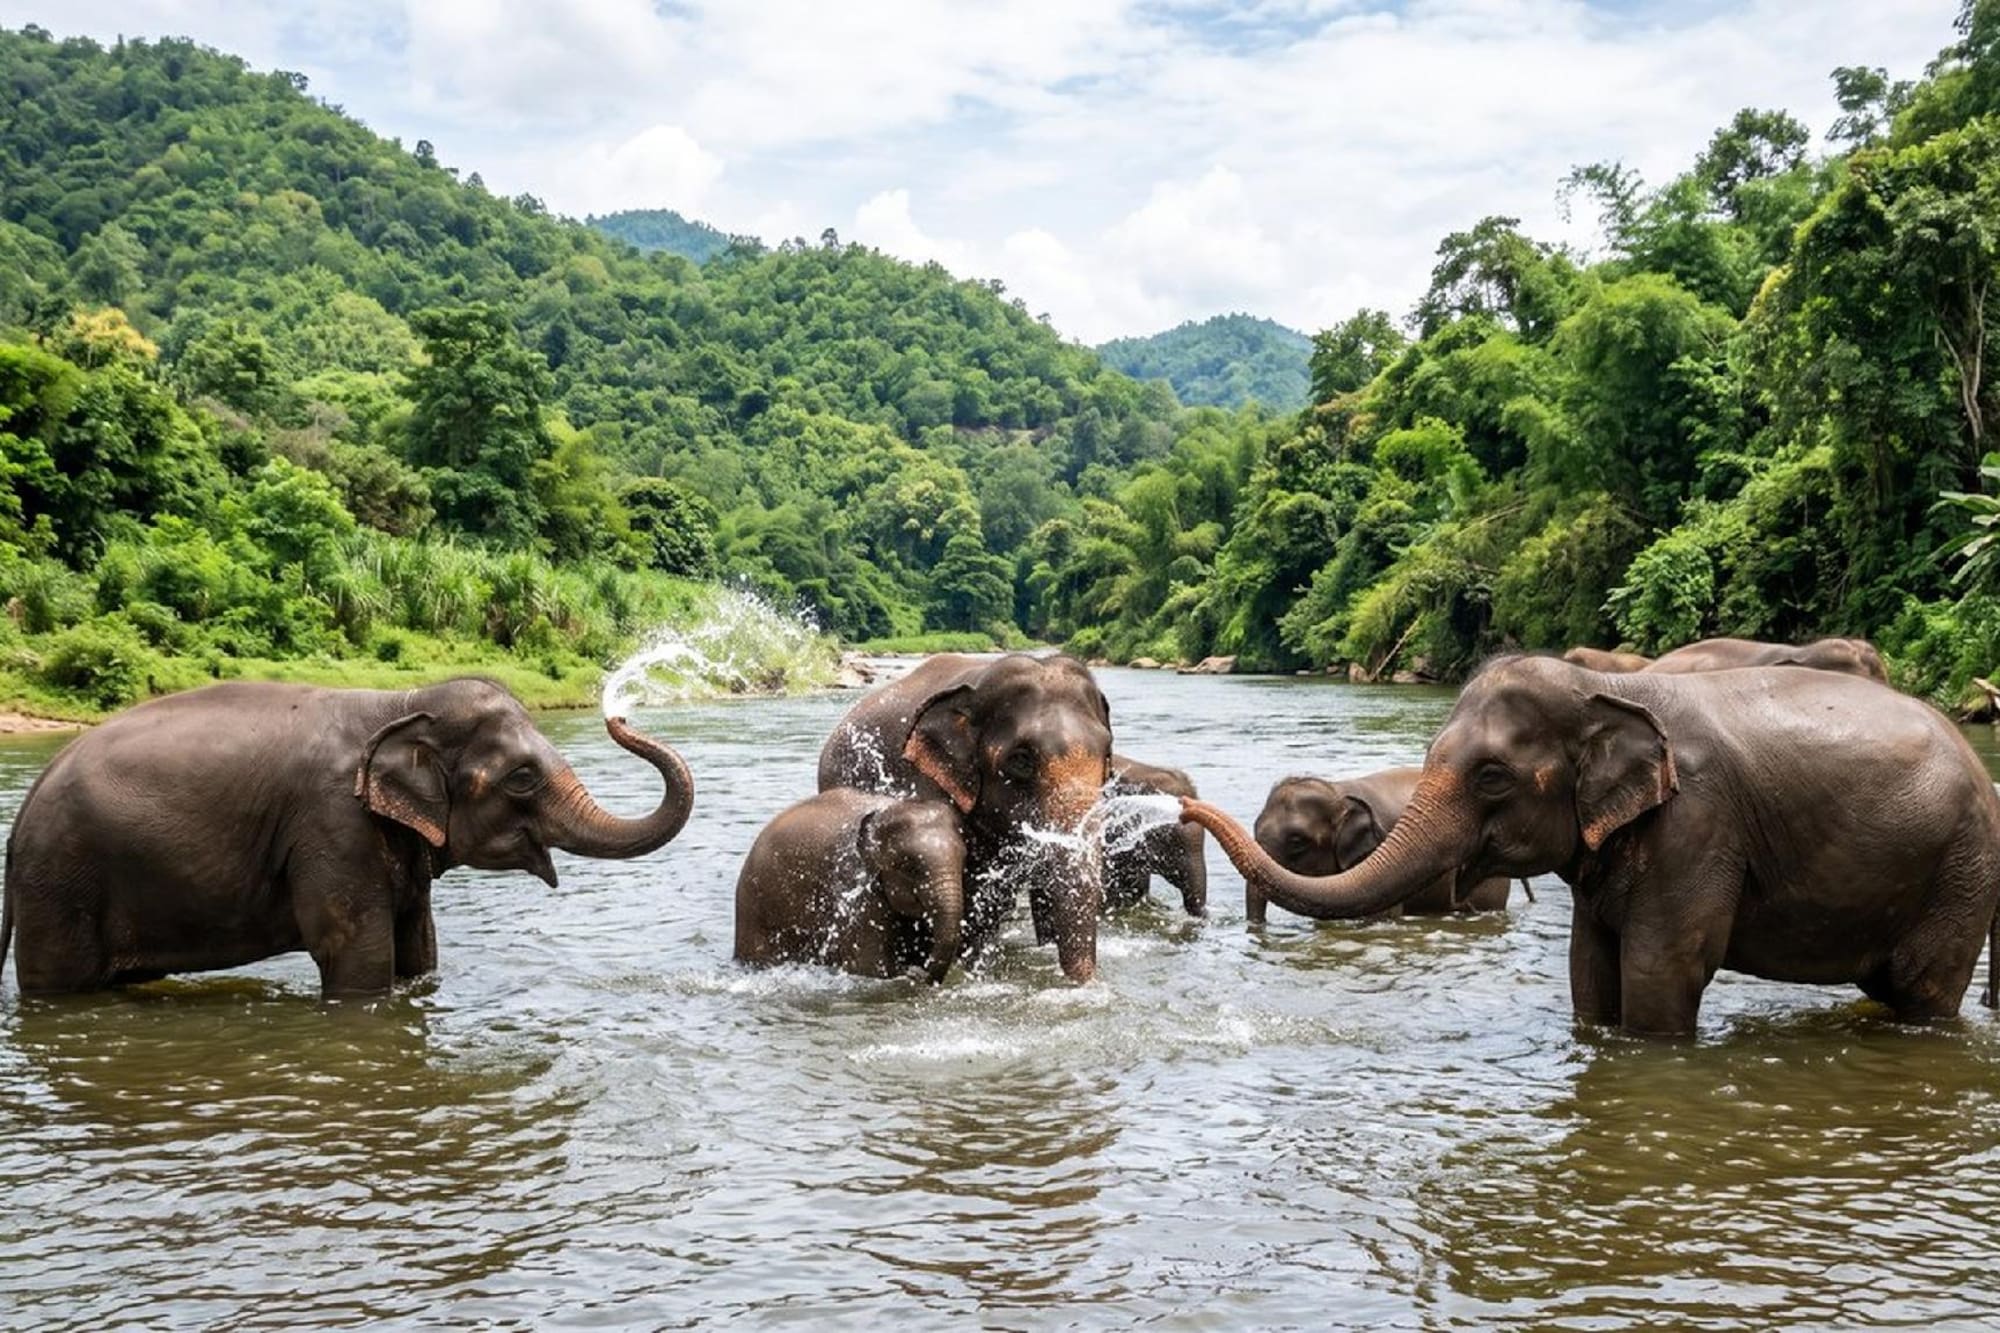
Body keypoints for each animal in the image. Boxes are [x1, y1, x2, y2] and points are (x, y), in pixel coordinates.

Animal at [1, 678, 694, 998]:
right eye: (522, 778)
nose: (617, 714)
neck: (400, 701)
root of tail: (28, 801)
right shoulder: (331, 824)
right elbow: (355, 958)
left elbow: (419, 950)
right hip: (60, 883)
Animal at [735, 788, 972, 981]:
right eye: (908, 866)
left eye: (963, 859)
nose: (918, 972)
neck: (882, 813)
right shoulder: (855, 886)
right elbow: (869, 966)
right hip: (755, 910)